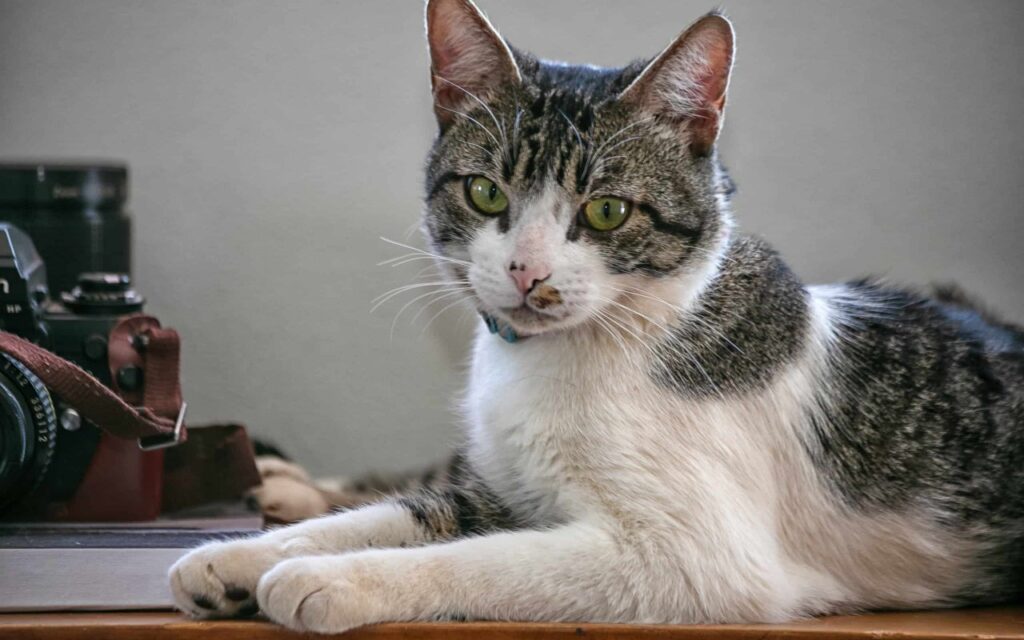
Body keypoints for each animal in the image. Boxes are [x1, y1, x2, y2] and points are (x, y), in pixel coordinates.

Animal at [169, 0, 1024, 630]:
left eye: (608, 211)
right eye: (486, 193)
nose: (528, 271)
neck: (555, 359)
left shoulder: (693, 558)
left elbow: (492, 559)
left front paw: (323, 579)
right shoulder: (507, 488)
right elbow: (406, 511)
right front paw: (234, 557)